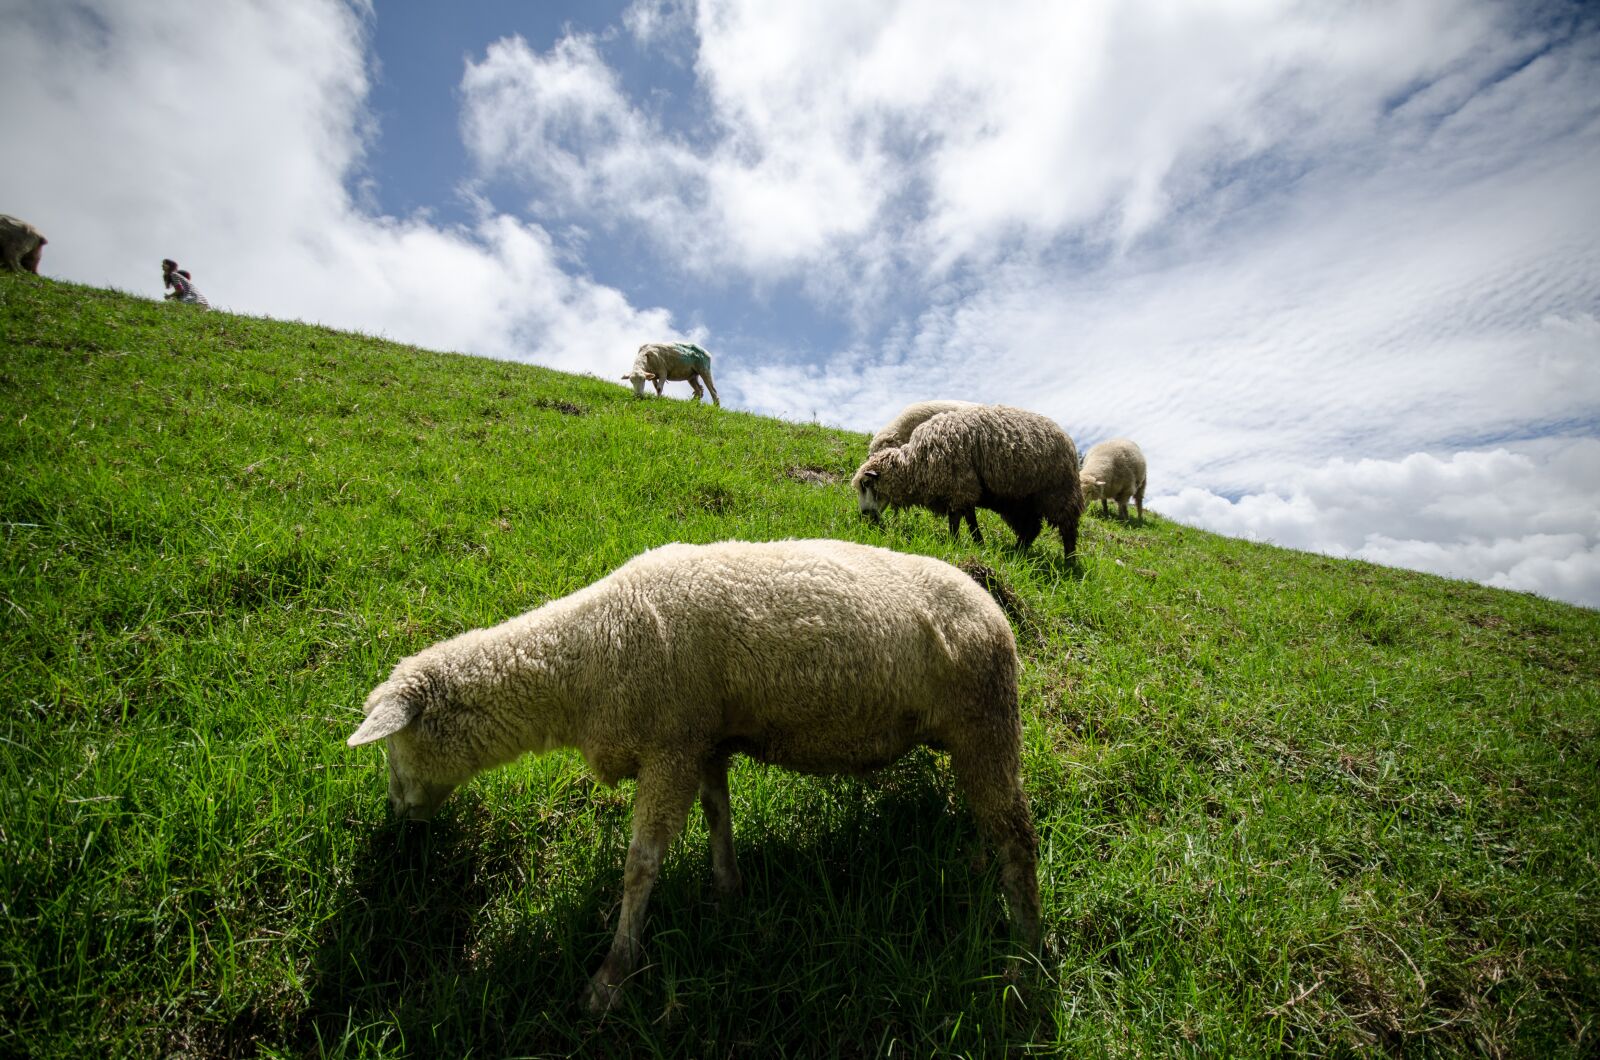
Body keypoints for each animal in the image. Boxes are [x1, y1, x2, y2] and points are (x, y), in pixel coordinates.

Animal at [348, 538, 1040, 1012]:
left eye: (391, 749)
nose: (397, 818)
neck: (589, 658)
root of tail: (991, 604)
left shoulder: (671, 747)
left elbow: (640, 866)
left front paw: (611, 978)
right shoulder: (703, 740)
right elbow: (717, 814)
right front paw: (728, 890)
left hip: (988, 718)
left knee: (1019, 837)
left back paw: (1026, 954)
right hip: (966, 736)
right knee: (988, 821)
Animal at [852, 404, 1085, 561]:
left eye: (866, 485)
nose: (864, 516)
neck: (916, 464)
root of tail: (1068, 439)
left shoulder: (960, 485)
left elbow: (958, 519)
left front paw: (955, 542)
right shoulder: (964, 488)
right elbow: (969, 518)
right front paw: (978, 543)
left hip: (1058, 491)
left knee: (1067, 528)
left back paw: (1069, 564)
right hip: (1019, 501)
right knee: (1031, 529)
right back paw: (1015, 553)